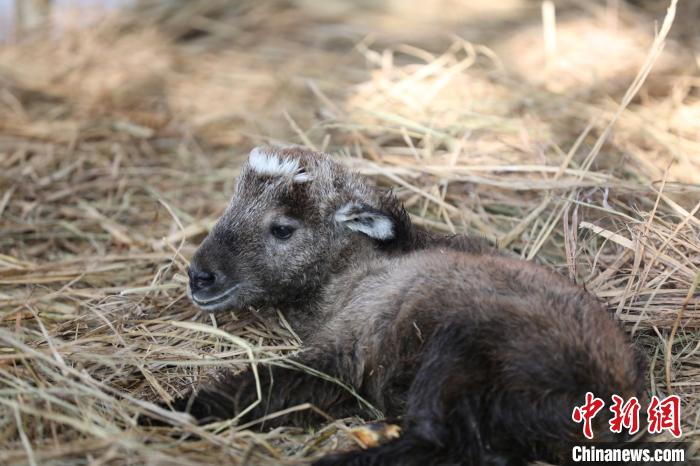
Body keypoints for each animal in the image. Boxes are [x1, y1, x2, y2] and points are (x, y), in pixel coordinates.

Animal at [175, 147, 644, 466]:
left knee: (444, 443)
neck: (355, 270)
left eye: (283, 228)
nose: (199, 277)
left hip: (463, 347)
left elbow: (263, 385)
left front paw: (176, 410)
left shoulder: (345, 350)